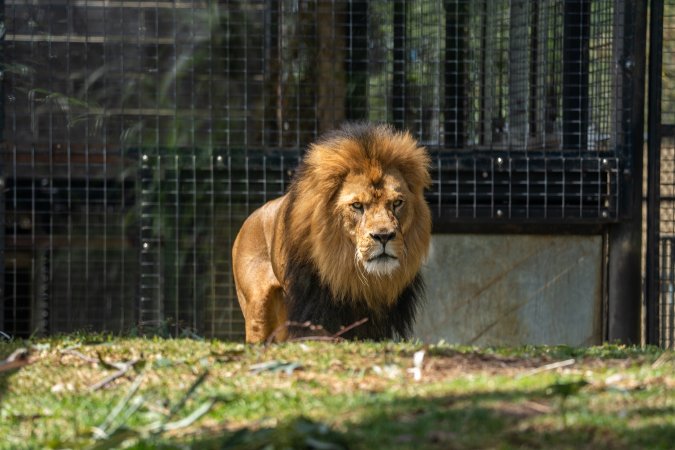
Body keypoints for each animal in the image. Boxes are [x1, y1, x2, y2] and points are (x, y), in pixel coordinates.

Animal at [232, 123, 432, 343]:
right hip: (257, 310)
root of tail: (250, 218)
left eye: (397, 203)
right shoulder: (314, 311)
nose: (384, 236)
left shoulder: (375, 326)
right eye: (357, 205)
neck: (352, 274)